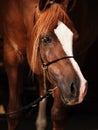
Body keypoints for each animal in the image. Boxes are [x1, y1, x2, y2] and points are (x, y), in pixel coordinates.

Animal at [0, 0, 87, 130]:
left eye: (76, 38)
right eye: (46, 39)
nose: (79, 87)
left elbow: (58, 115)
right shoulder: (12, 54)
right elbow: (14, 112)